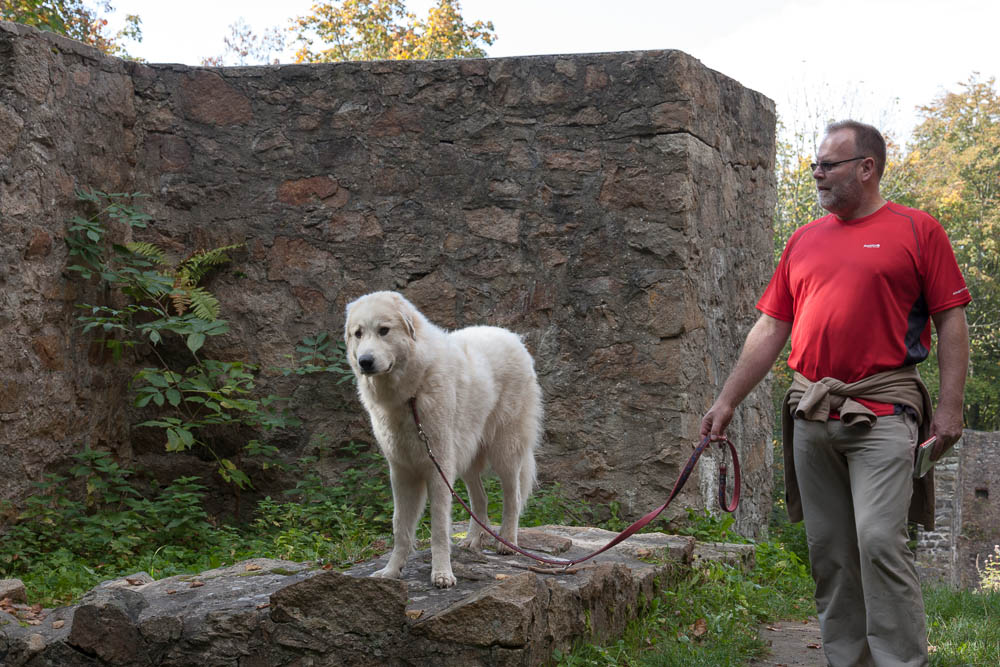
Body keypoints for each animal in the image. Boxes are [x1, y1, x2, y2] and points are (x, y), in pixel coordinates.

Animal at [346, 292, 548, 588]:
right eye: (358, 334)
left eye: (384, 330)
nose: (365, 362)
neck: (411, 394)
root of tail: (513, 337)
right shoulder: (402, 472)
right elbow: (400, 526)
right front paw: (392, 571)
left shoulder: (436, 468)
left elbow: (439, 529)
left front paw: (441, 574)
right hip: (467, 458)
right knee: (480, 500)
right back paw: (474, 540)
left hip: (505, 452)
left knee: (513, 497)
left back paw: (507, 542)